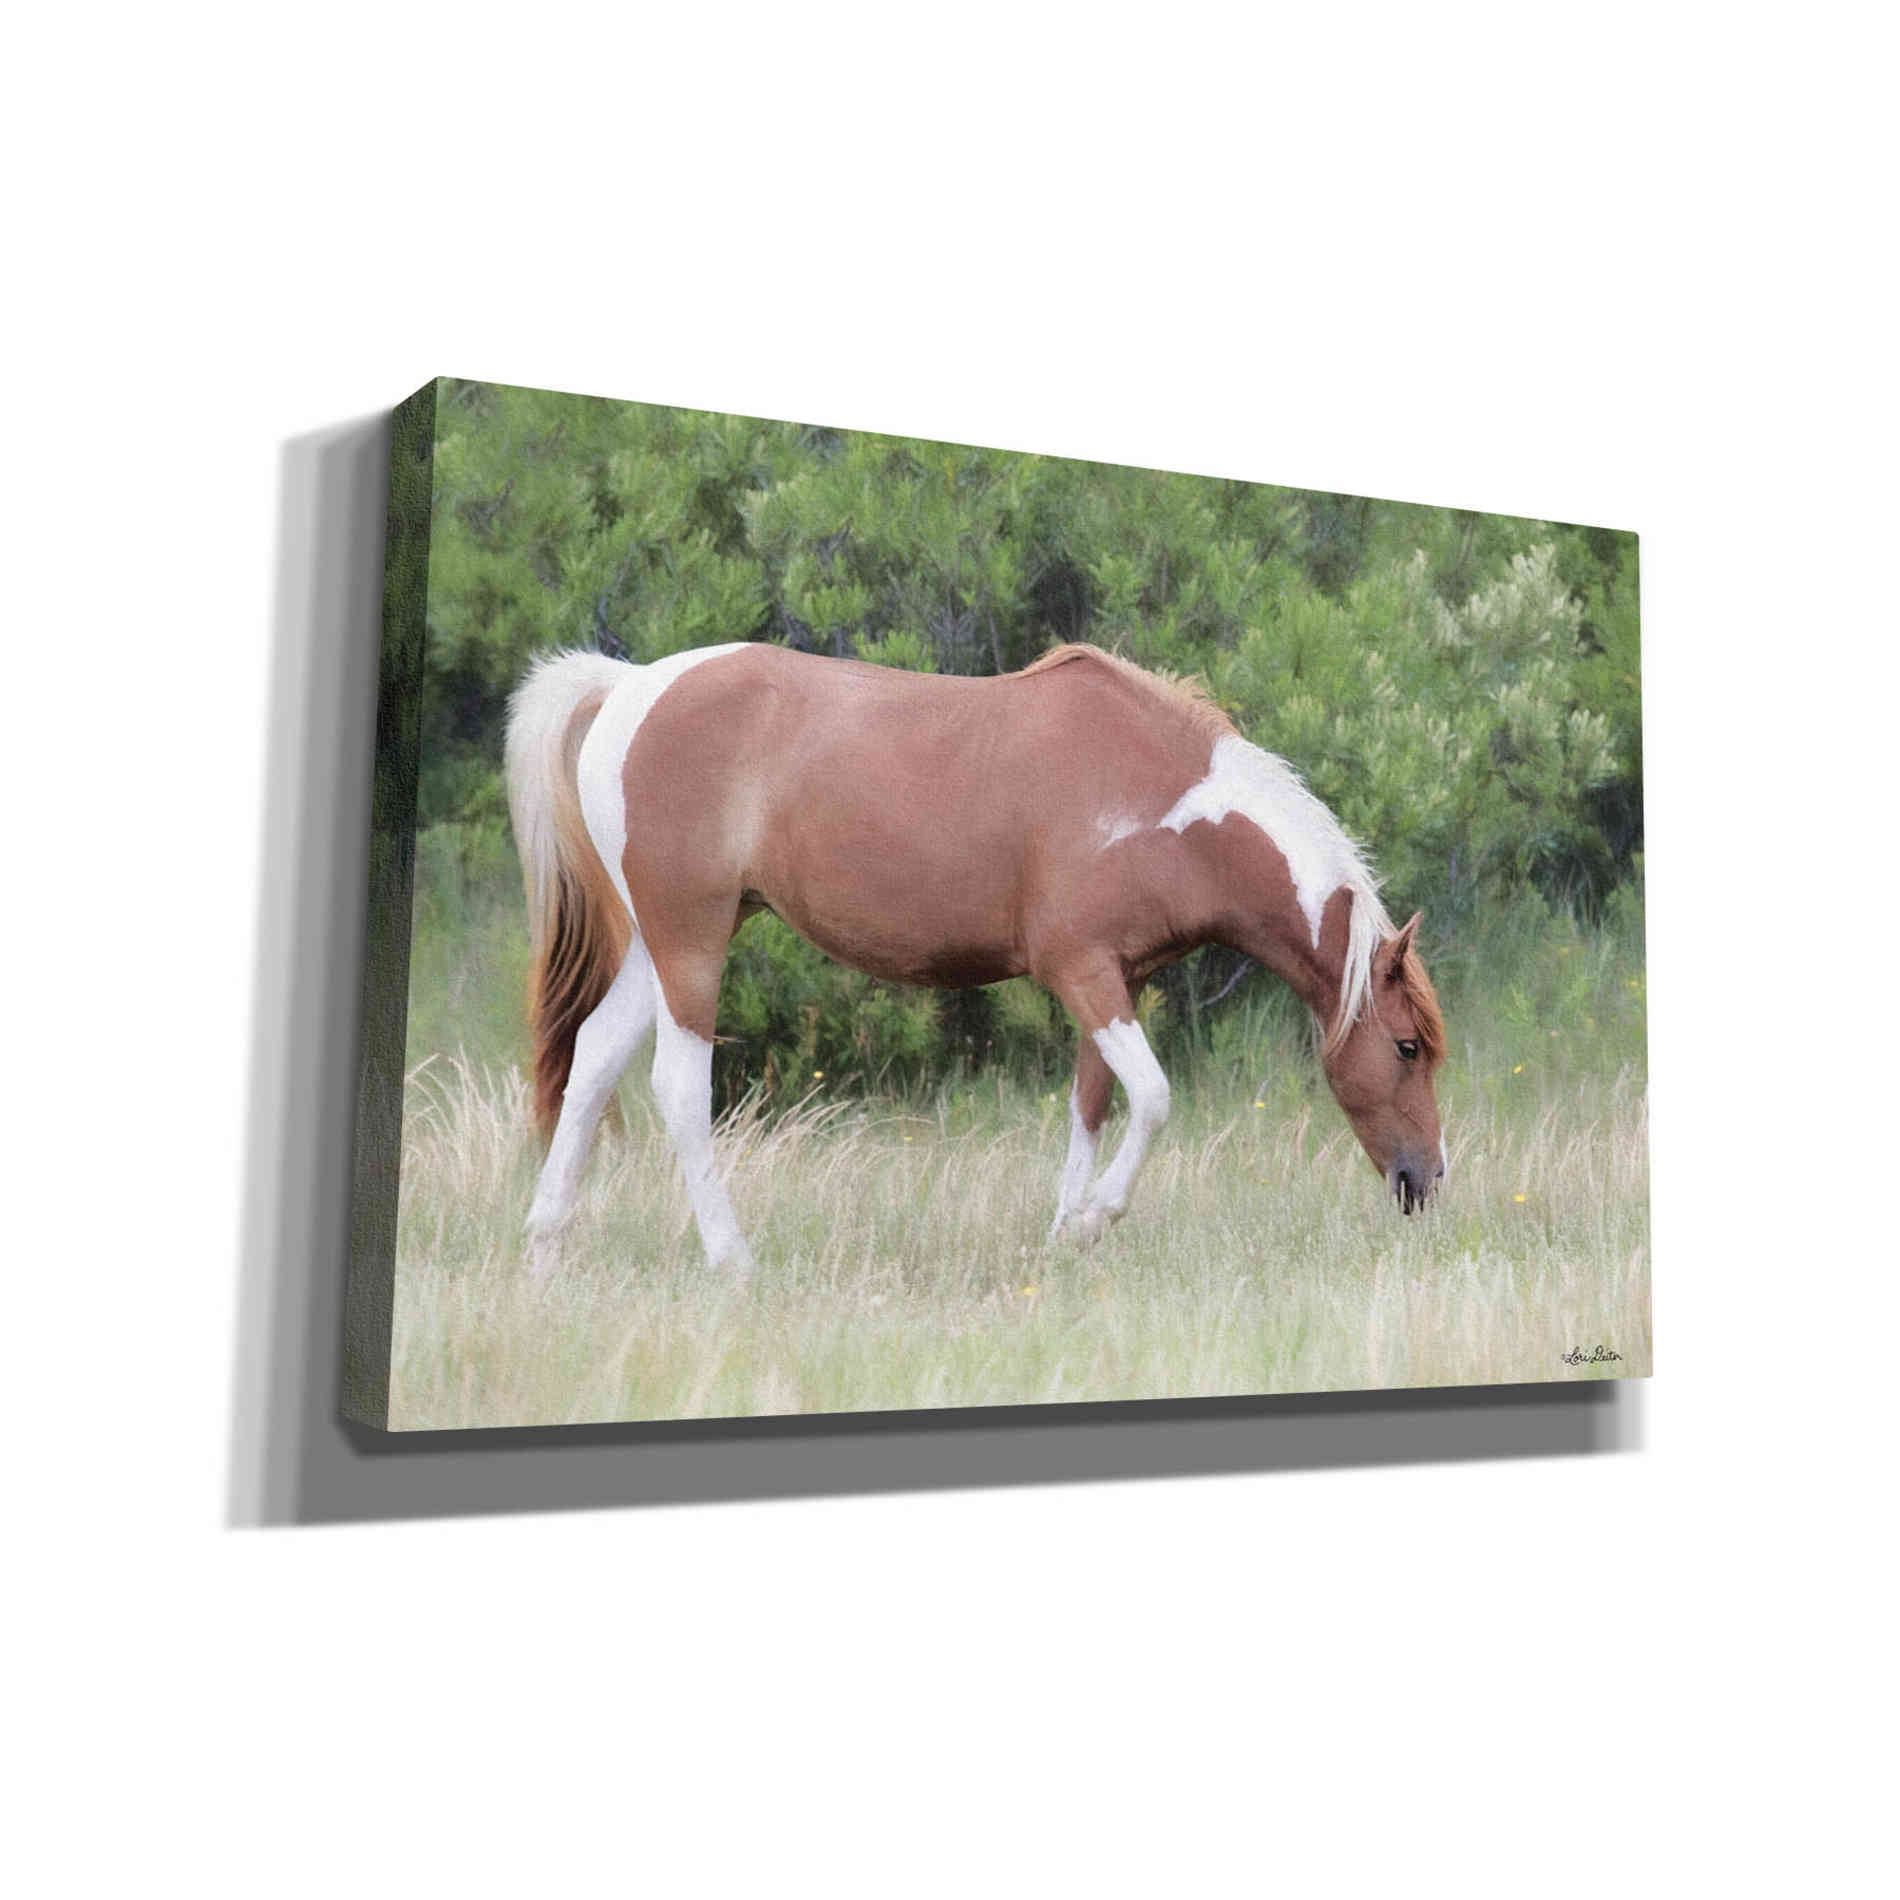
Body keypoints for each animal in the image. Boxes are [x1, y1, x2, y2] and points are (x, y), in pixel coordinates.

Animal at [504, 640, 1446, 1279]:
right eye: (1406, 1047)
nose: (1426, 1181)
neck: (1163, 805)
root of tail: (628, 685)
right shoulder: (1082, 974)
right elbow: (1152, 1099)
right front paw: (1095, 1219)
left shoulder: (1115, 980)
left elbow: (1091, 1107)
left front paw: (1064, 1235)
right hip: (691, 941)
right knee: (676, 1087)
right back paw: (732, 1258)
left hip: (659, 946)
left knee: (591, 1061)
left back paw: (546, 1246)